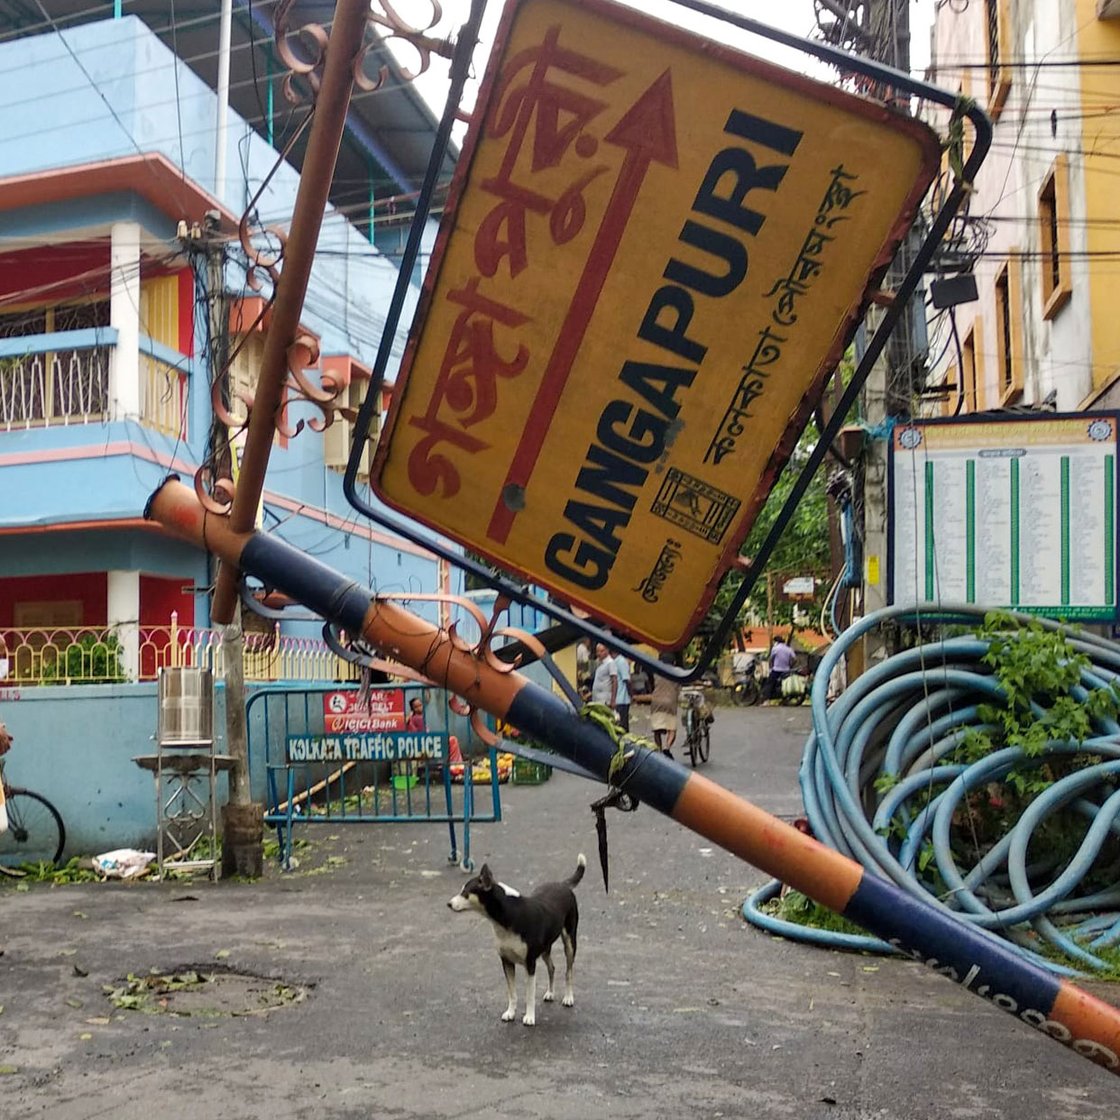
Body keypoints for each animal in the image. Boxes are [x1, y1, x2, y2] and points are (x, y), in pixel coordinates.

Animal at [445, 851, 586, 1025]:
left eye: (465, 893)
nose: (449, 904)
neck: (509, 916)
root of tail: (563, 884)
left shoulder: (530, 963)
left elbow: (529, 995)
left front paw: (530, 1017)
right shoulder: (506, 961)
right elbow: (512, 993)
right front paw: (510, 1013)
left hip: (570, 942)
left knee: (569, 971)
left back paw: (568, 997)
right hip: (545, 949)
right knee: (552, 967)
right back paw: (550, 993)